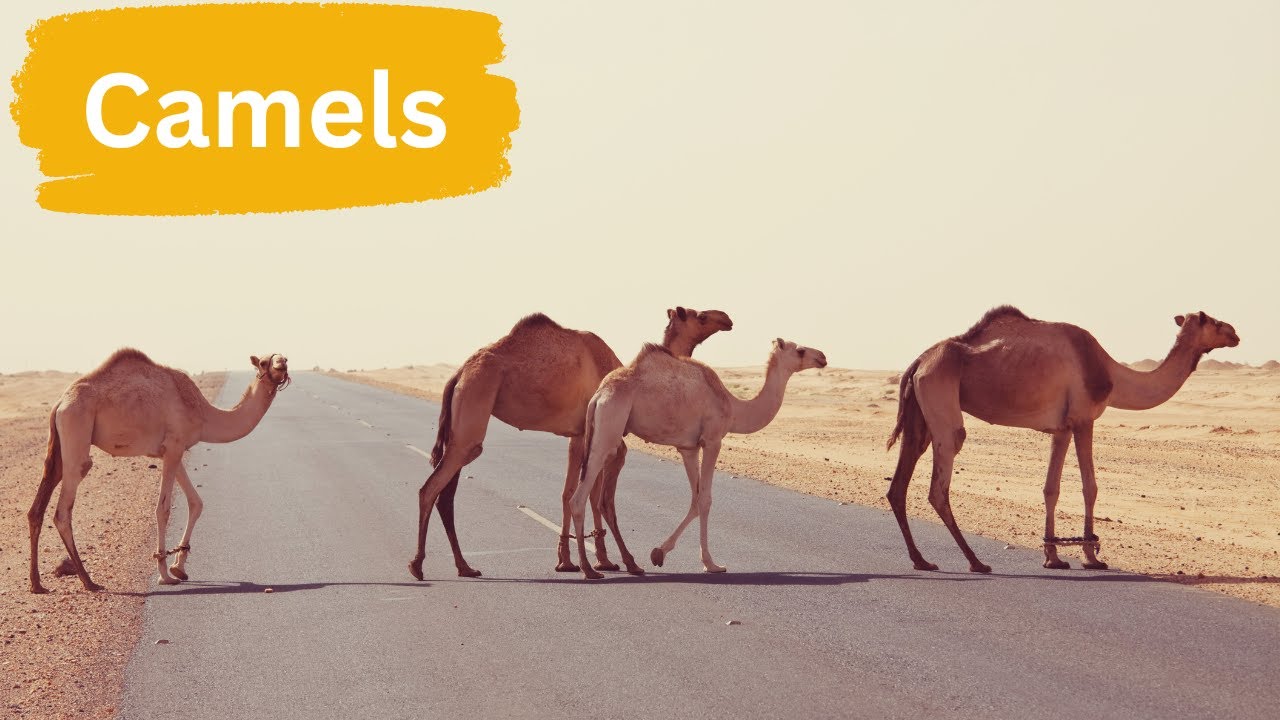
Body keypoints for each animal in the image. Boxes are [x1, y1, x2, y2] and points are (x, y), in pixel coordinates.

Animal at [27, 349, 290, 593]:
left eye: (284, 358)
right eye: (264, 362)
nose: (281, 364)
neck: (202, 412)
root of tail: (60, 404)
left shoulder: (172, 451)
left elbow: (196, 502)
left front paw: (179, 567)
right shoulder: (174, 446)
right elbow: (163, 509)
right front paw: (165, 574)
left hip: (60, 444)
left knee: (38, 506)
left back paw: (37, 584)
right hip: (77, 428)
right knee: (63, 509)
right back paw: (89, 581)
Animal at [409, 307, 733, 581]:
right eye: (701, 316)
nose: (727, 319)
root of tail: (458, 373)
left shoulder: (577, 436)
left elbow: (570, 493)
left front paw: (569, 561)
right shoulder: (604, 440)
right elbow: (597, 499)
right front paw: (614, 561)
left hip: (461, 426)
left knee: (446, 493)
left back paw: (464, 566)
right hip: (475, 402)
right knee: (431, 488)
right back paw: (418, 565)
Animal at [568, 338, 827, 579]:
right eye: (800, 350)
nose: (822, 357)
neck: (732, 407)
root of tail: (598, 395)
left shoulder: (688, 448)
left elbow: (695, 498)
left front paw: (659, 553)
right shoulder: (712, 440)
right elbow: (705, 500)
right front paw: (711, 564)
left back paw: (613, 565)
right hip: (609, 428)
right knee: (579, 499)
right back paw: (589, 570)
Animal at [886, 306, 1240, 573]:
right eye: (1213, 320)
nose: (1235, 332)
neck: (1111, 375)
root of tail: (919, 361)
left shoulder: (1061, 428)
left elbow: (1050, 489)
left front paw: (1053, 556)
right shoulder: (1084, 419)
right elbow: (1089, 486)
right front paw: (1091, 556)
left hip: (920, 414)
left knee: (899, 484)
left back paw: (922, 561)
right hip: (941, 397)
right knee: (939, 484)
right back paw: (976, 562)